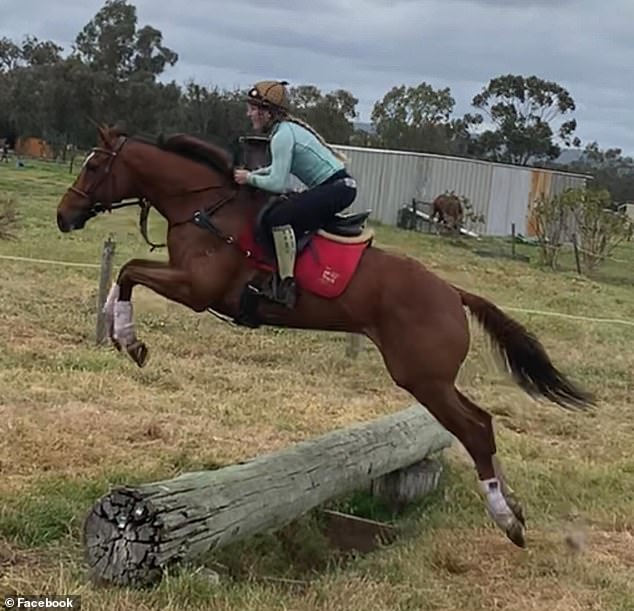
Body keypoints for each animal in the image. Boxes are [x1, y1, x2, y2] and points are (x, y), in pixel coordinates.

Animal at [54, 123, 592, 548]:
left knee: (476, 429)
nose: (64, 216)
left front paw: (129, 339)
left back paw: (507, 520)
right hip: (432, 378)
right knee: (482, 422)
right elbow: (126, 272)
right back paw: (513, 506)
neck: (205, 206)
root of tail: (452, 292)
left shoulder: (197, 289)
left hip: (422, 377)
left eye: (94, 166)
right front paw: (117, 329)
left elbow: (130, 270)